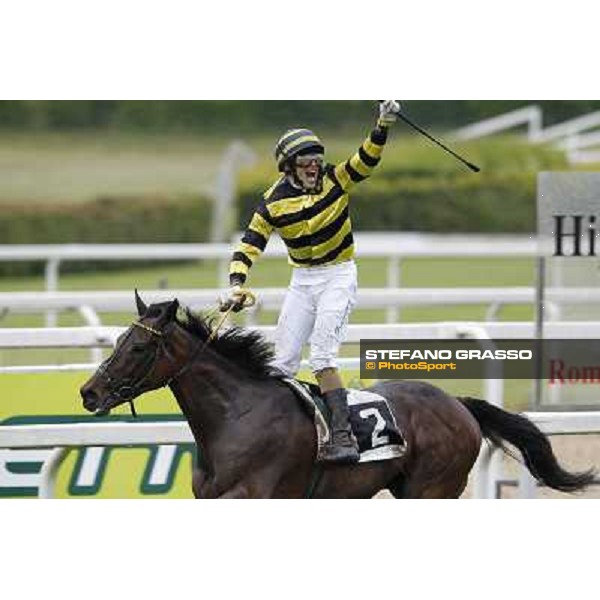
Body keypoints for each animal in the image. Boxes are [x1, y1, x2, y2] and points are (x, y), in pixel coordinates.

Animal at [79, 294, 596, 496]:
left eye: (138, 347)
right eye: (119, 340)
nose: (89, 391)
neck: (237, 417)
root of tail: (457, 404)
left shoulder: (254, 493)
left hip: (433, 487)